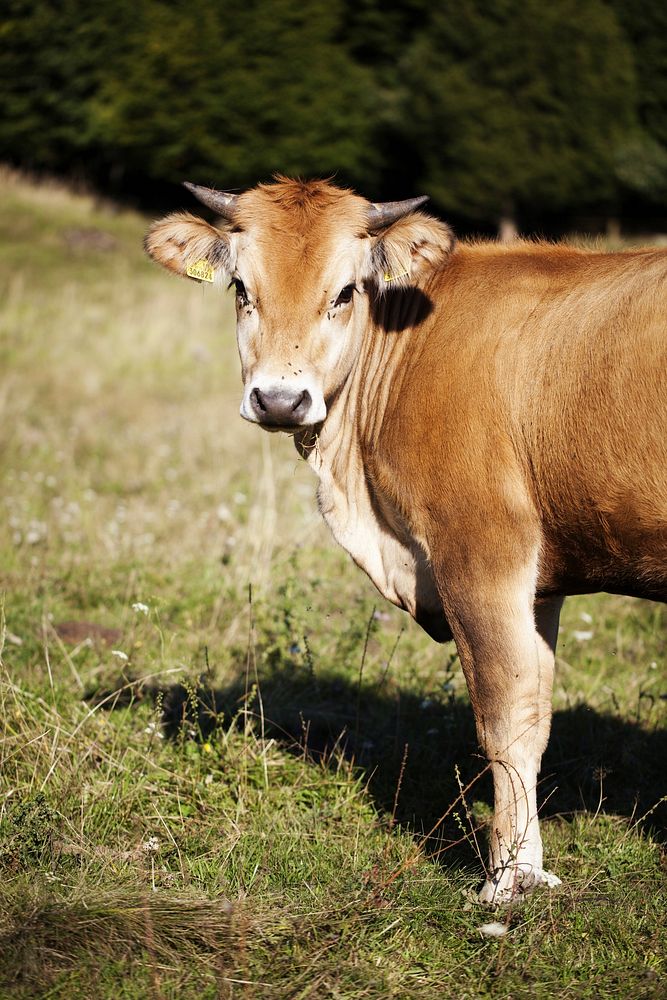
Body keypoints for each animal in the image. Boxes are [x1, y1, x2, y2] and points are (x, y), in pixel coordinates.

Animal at [146, 180, 667, 908]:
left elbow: (503, 715)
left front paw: (503, 883)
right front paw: (533, 870)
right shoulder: (538, 582)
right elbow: (536, 714)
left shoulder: (479, 550)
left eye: (345, 292)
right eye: (241, 288)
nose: (279, 399)